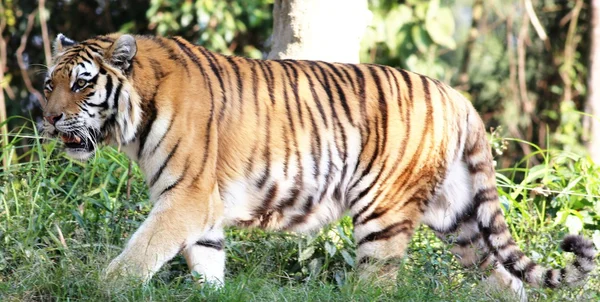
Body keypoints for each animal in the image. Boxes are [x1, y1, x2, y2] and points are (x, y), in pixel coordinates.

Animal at [42, 32, 596, 298]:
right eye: (51, 83)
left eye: (84, 84)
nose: (47, 119)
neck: (134, 118)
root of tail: (456, 96)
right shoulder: (205, 208)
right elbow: (206, 263)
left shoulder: (188, 198)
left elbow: (138, 254)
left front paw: (99, 289)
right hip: (458, 217)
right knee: (507, 279)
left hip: (384, 213)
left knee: (378, 284)